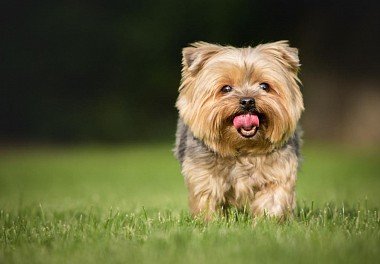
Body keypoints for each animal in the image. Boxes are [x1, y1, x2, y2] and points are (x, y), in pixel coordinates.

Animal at [174, 40, 302, 219]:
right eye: (226, 88)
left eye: (264, 86)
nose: (247, 101)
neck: (243, 149)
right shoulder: (204, 176)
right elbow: (207, 199)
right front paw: (211, 222)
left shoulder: (278, 172)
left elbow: (273, 198)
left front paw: (267, 221)